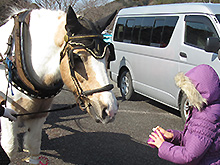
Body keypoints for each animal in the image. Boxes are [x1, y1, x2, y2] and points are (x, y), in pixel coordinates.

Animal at [0, 6, 118, 164]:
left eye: (109, 56)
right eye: (77, 58)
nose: (110, 110)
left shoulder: (39, 114)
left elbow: (34, 147)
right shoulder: (8, 113)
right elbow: (9, 149)